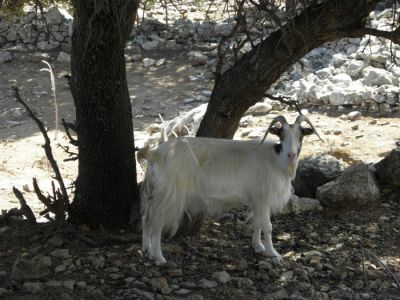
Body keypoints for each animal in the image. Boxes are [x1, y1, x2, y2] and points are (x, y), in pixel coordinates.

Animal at [138, 114, 322, 264]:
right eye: (282, 135)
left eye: (301, 135)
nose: (291, 155)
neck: (277, 160)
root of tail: (155, 154)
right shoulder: (262, 197)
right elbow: (267, 226)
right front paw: (273, 253)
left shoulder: (258, 200)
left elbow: (257, 222)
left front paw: (258, 247)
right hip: (169, 196)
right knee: (157, 224)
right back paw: (159, 257)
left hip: (153, 193)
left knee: (146, 219)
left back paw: (147, 250)